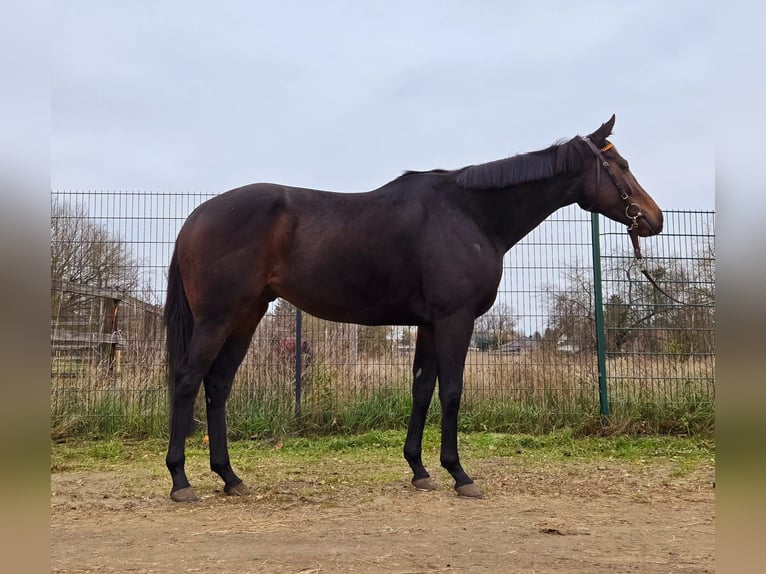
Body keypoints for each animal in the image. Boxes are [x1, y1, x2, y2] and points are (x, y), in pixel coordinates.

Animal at [165, 115, 664, 502]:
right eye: (618, 165)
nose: (654, 219)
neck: (471, 214)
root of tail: (196, 217)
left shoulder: (428, 324)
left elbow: (422, 389)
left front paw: (420, 471)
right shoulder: (454, 319)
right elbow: (452, 392)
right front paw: (459, 474)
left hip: (245, 317)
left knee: (218, 385)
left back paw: (230, 478)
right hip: (218, 318)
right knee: (189, 380)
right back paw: (180, 481)